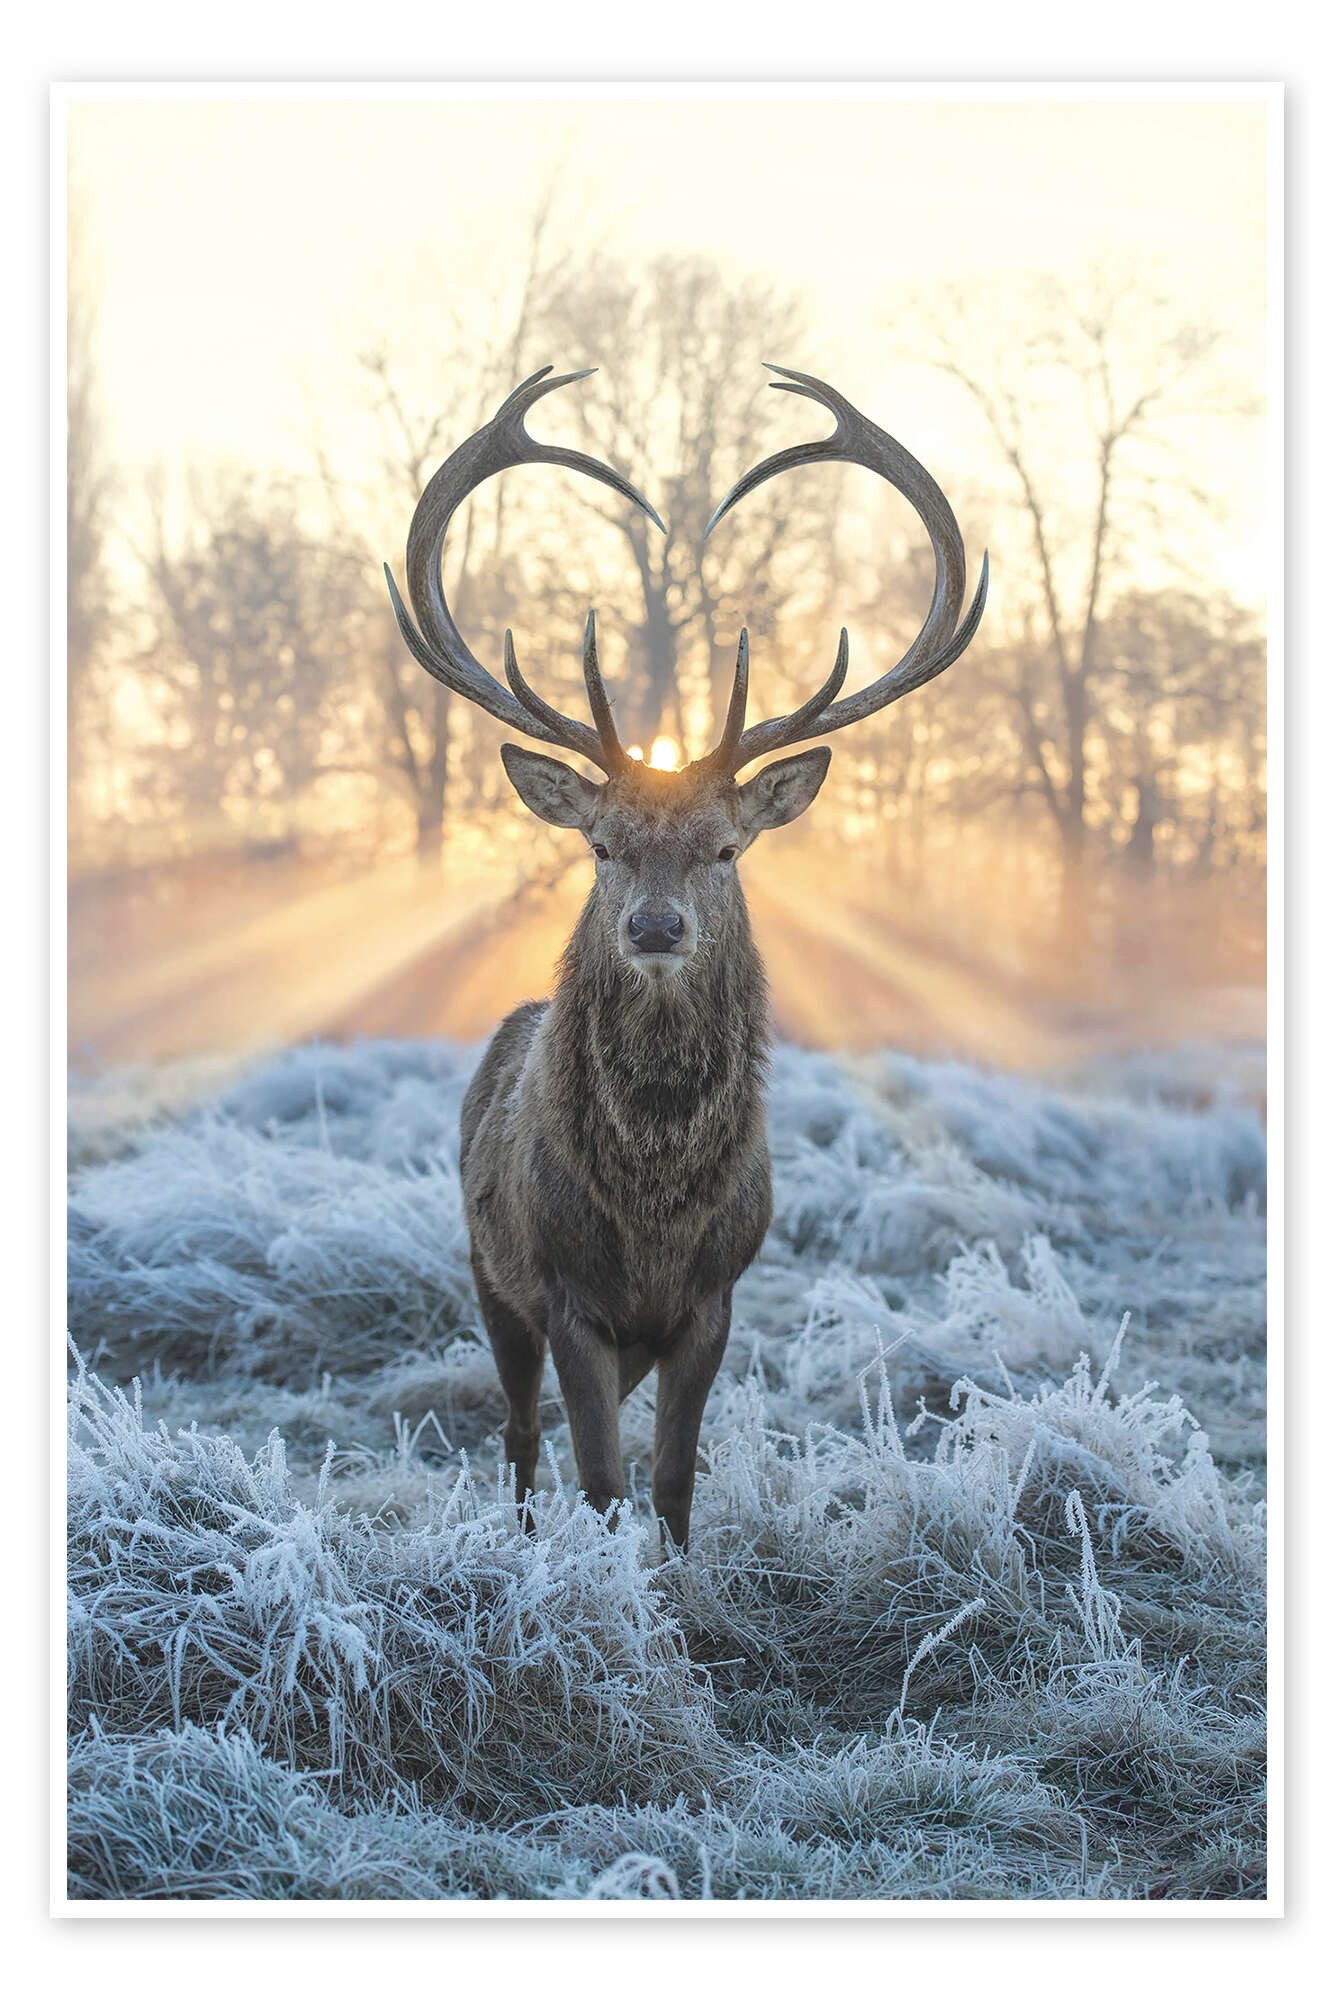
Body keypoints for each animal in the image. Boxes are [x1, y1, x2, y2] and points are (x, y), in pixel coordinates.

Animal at [384, 363, 987, 1551]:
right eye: (602, 844)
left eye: (724, 847)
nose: (655, 927)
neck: (655, 1213)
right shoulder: (565, 1290)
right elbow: (600, 1478)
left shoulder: (715, 1296)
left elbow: (669, 1482)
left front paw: (677, 1577)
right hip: (484, 1267)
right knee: (518, 1433)